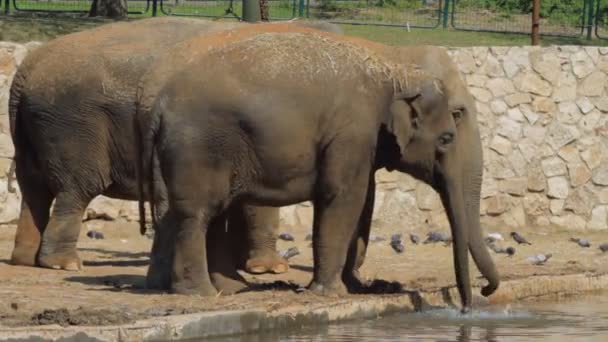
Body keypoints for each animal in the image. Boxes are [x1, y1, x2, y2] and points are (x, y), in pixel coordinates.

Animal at [137, 23, 498, 312]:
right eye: (448, 137)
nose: (473, 300)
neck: (391, 68)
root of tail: (159, 106)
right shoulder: (352, 132)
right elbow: (343, 197)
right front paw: (330, 292)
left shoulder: (362, 143)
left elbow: (363, 200)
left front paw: (358, 287)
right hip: (199, 148)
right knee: (198, 213)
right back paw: (200, 294)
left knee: (210, 212)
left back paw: (231, 288)